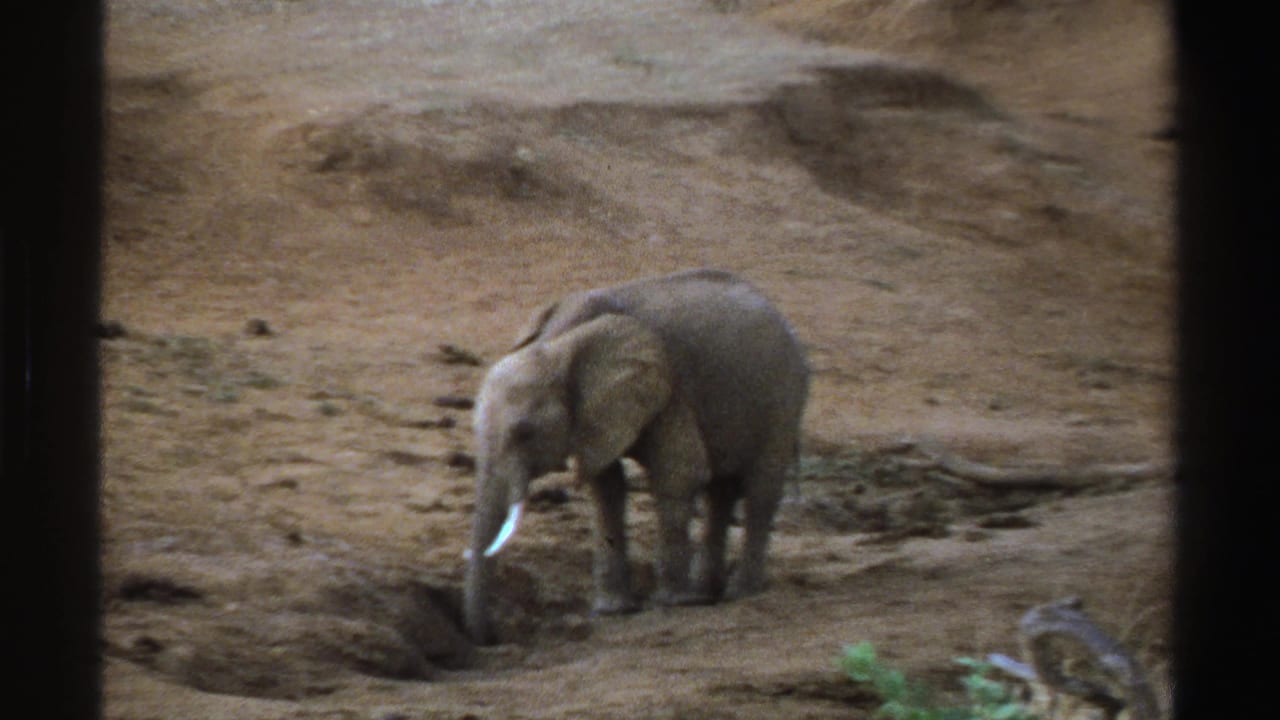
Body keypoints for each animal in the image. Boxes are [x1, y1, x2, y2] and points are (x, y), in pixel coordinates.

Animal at [463, 268, 809, 644]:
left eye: (525, 433)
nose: (492, 637)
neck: (557, 345)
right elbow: (606, 488)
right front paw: (613, 610)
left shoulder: (668, 387)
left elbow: (679, 472)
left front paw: (672, 603)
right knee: (721, 492)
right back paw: (707, 593)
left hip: (783, 399)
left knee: (761, 489)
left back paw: (739, 593)